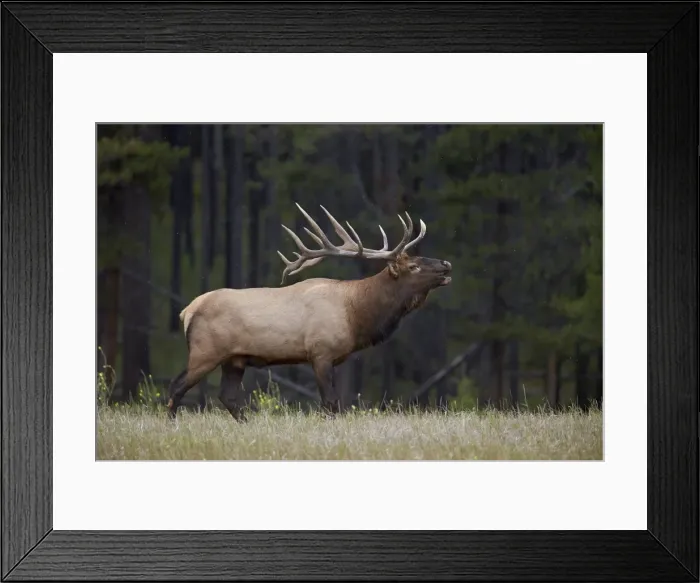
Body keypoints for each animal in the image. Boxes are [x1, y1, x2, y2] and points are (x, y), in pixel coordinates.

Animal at [166, 203, 452, 421]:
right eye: (414, 266)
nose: (446, 264)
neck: (356, 315)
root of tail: (187, 311)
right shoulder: (321, 352)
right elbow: (331, 403)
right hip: (205, 351)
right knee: (177, 386)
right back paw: (172, 423)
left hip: (234, 359)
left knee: (228, 396)